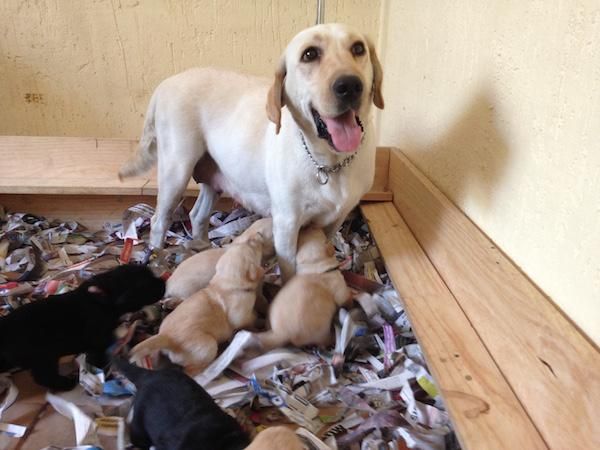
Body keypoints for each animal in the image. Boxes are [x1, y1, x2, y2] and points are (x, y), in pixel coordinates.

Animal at [0, 264, 164, 390]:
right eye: (145, 285)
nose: (163, 282)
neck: (103, 298)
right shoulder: (98, 341)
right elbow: (98, 358)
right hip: (43, 357)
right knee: (44, 377)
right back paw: (65, 383)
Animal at [120, 23, 384, 282]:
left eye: (358, 48)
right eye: (309, 54)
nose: (350, 85)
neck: (328, 163)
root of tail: (165, 83)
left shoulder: (334, 220)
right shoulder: (286, 223)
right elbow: (288, 271)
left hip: (212, 177)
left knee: (197, 215)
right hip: (176, 171)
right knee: (158, 221)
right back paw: (158, 258)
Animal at [132, 236, 264, 376]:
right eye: (254, 250)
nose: (258, 237)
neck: (225, 284)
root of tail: (166, 337)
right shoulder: (240, 315)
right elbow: (248, 319)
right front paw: (257, 321)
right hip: (208, 346)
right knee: (190, 370)